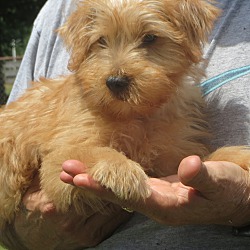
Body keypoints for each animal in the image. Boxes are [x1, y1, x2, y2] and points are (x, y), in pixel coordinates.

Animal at [0, 0, 250, 230]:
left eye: (150, 38)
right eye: (101, 40)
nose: (116, 82)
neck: (136, 116)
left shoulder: (174, 158)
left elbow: (206, 157)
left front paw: (239, 157)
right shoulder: (58, 160)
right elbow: (92, 150)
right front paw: (121, 168)